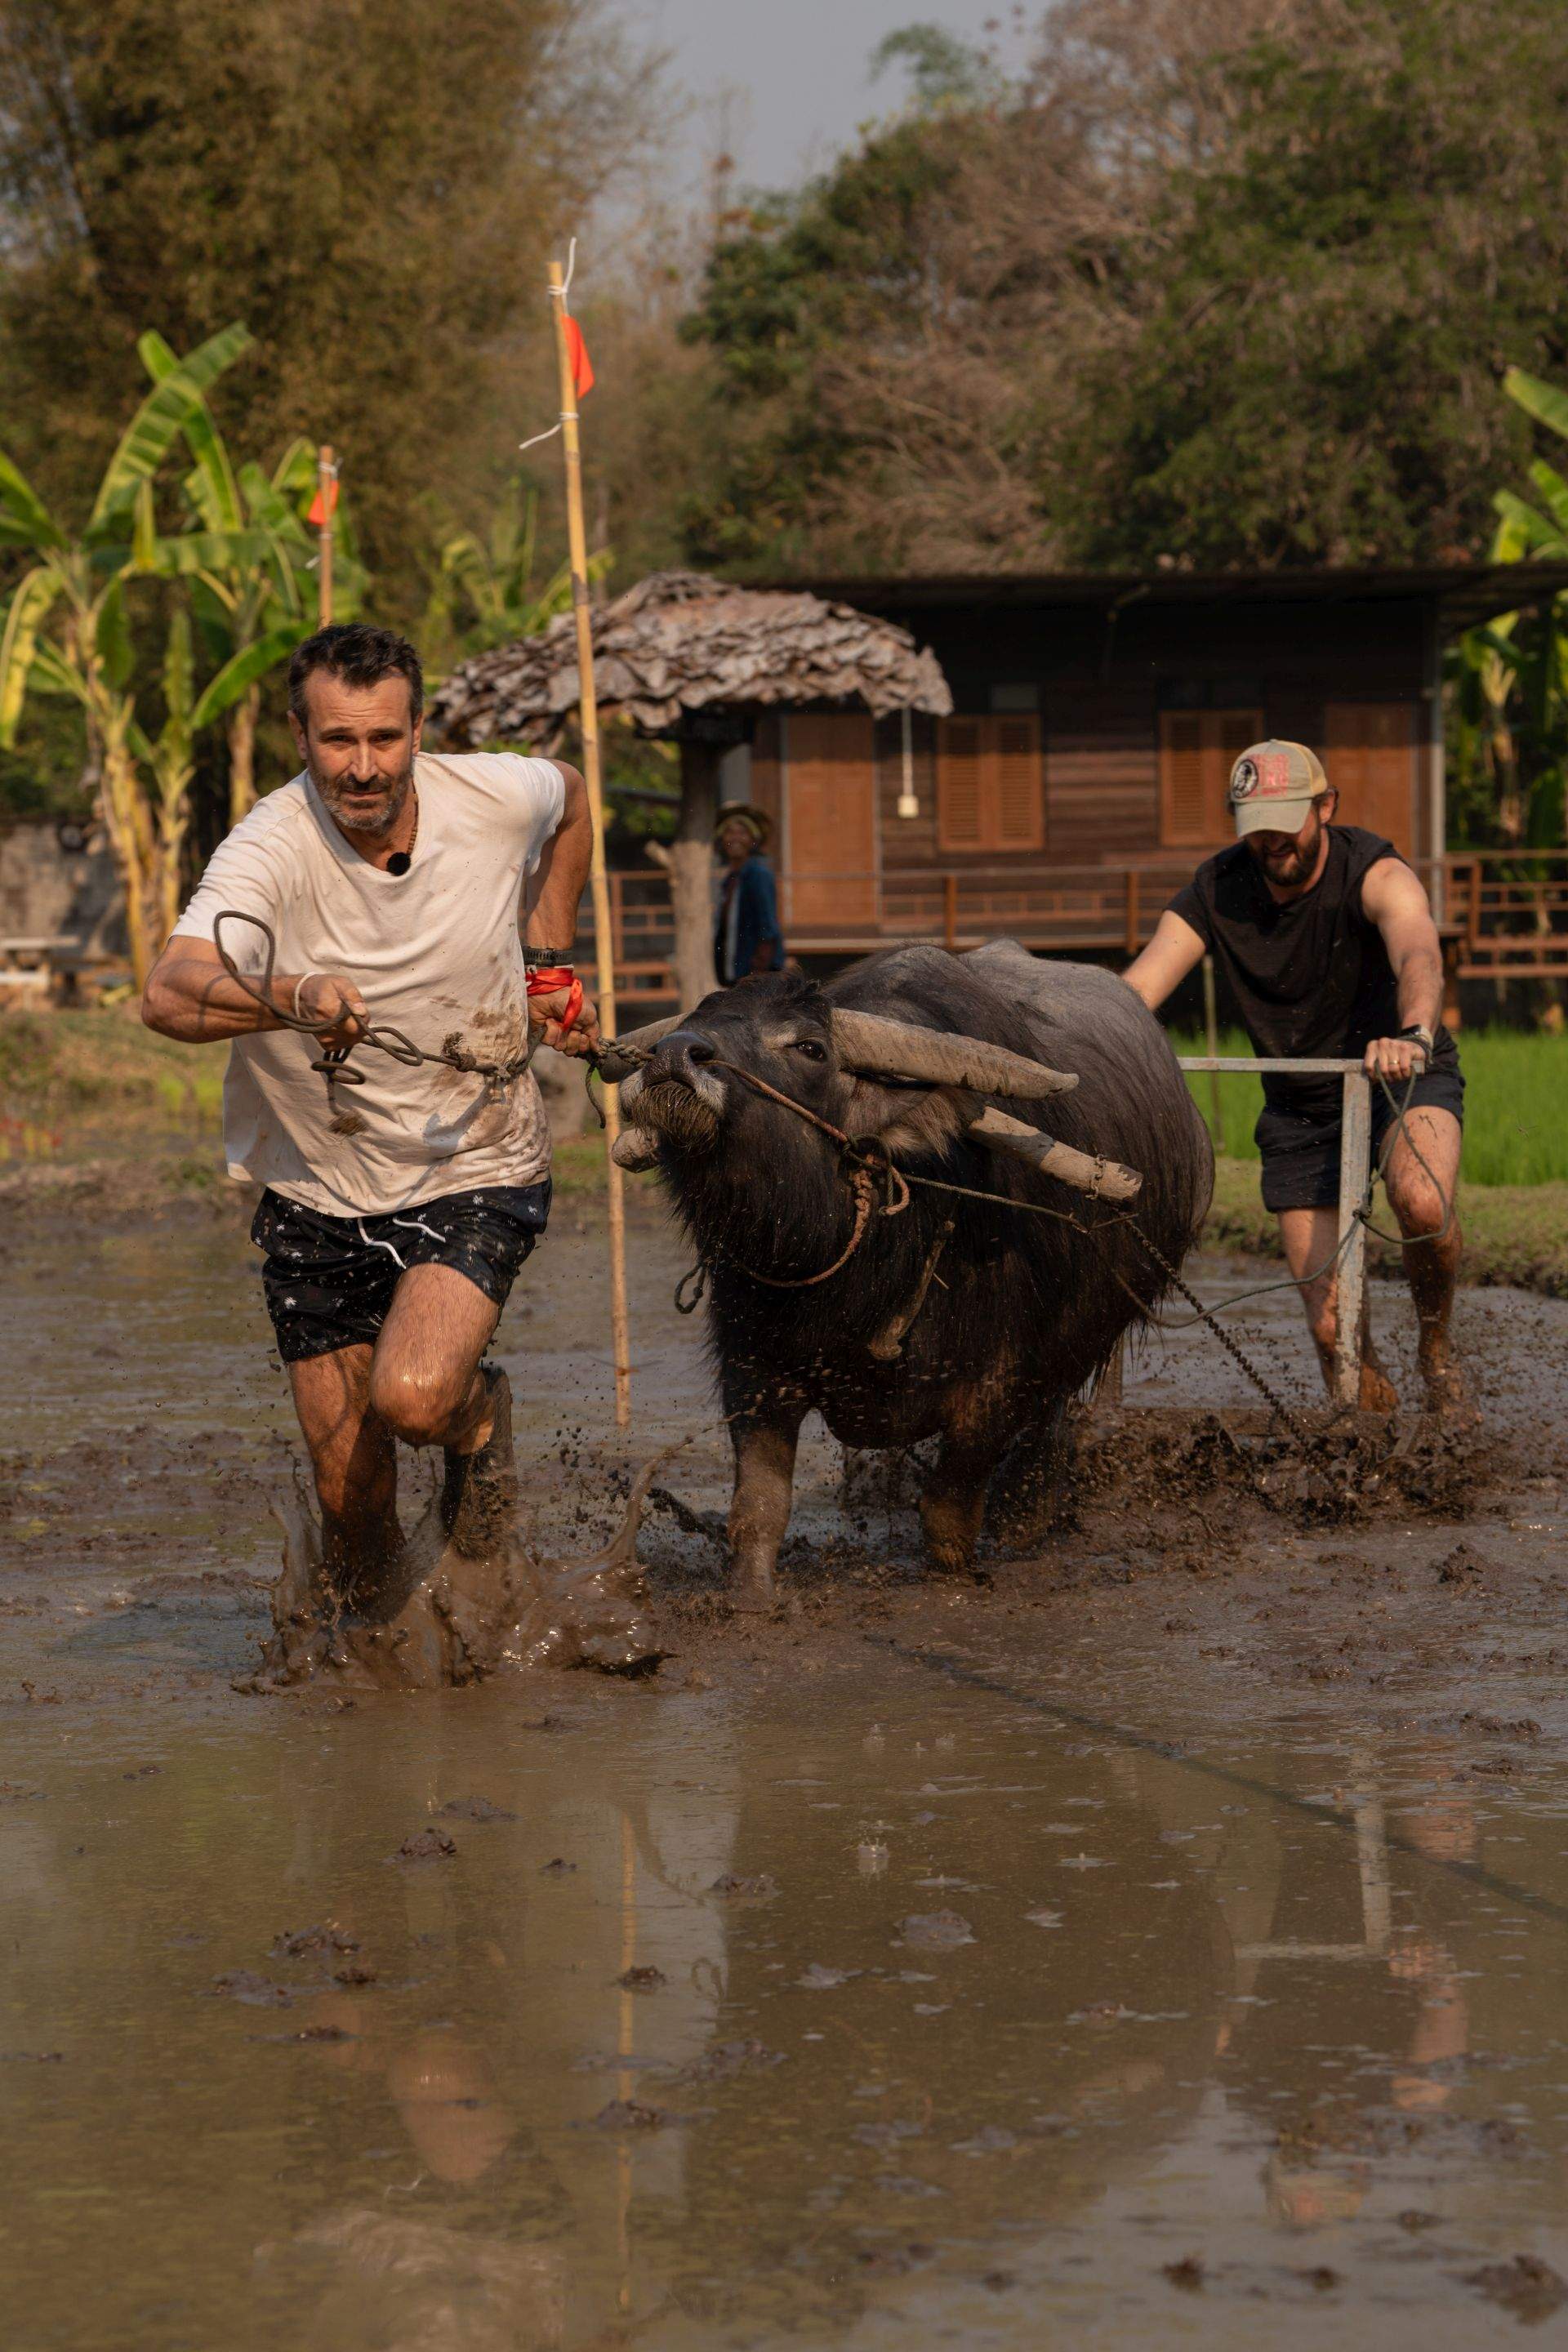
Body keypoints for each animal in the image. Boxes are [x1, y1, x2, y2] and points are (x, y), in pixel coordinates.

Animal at [606, 945, 1213, 1608]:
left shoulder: (999, 1387)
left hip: (1077, 1349)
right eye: (698, 1017)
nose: (674, 1054)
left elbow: (948, 1512)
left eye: (810, 1047)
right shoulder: (756, 1371)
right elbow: (759, 1509)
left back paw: (1025, 1519)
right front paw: (751, 1600)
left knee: (1046, 1436)